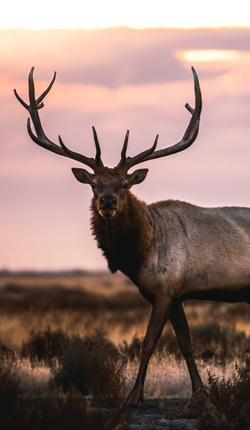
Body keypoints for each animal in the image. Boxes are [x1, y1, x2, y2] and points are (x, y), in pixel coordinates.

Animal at [14, 67, 250, 406]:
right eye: (94, 184)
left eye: (125, 184)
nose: (107, 201)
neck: (139, 252)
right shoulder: (175, 293)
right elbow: (186, 343)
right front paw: (199, 394)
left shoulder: (165, 289)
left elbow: (148, 343)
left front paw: (133, 396)